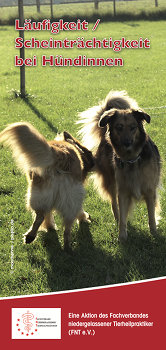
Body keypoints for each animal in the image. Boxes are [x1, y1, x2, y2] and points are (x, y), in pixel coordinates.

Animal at [78, 90, 161, 241]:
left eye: (133, 127)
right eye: (119, 128)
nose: (127, 143)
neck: (132, 159)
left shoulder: (150, 190)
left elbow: (151, 216)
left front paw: (154, 234)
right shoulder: (122, 191)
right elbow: (122, 215)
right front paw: (122, 236)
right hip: (111, 182)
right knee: (114, 204)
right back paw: (116, 220)